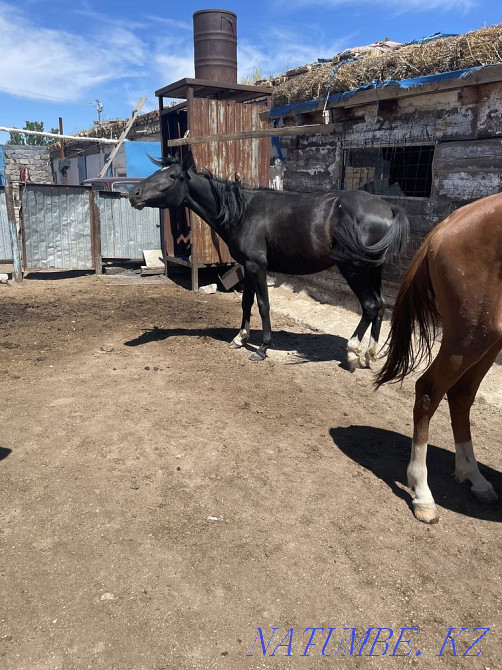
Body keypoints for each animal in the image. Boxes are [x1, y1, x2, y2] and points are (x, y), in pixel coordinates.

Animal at [129, 153, 409, 371]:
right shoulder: (246, 267)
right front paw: (240, 338)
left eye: (172, 176)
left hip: (354, 270)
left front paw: (262, 348)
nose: (134, 193)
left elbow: (263, 305)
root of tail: (389, 209)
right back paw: (368, 356)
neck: (243, 212)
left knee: (370, 305)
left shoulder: (257, 266)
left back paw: (352, 353)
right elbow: (246, 303)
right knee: (380, 306)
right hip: (372, 269)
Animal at [375, 192, 502, 524]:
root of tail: (447, 225)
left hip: (487, 340)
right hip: (469, 336)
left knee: (460, 394)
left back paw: (474, 476)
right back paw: (422, 491)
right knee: (429, 390)